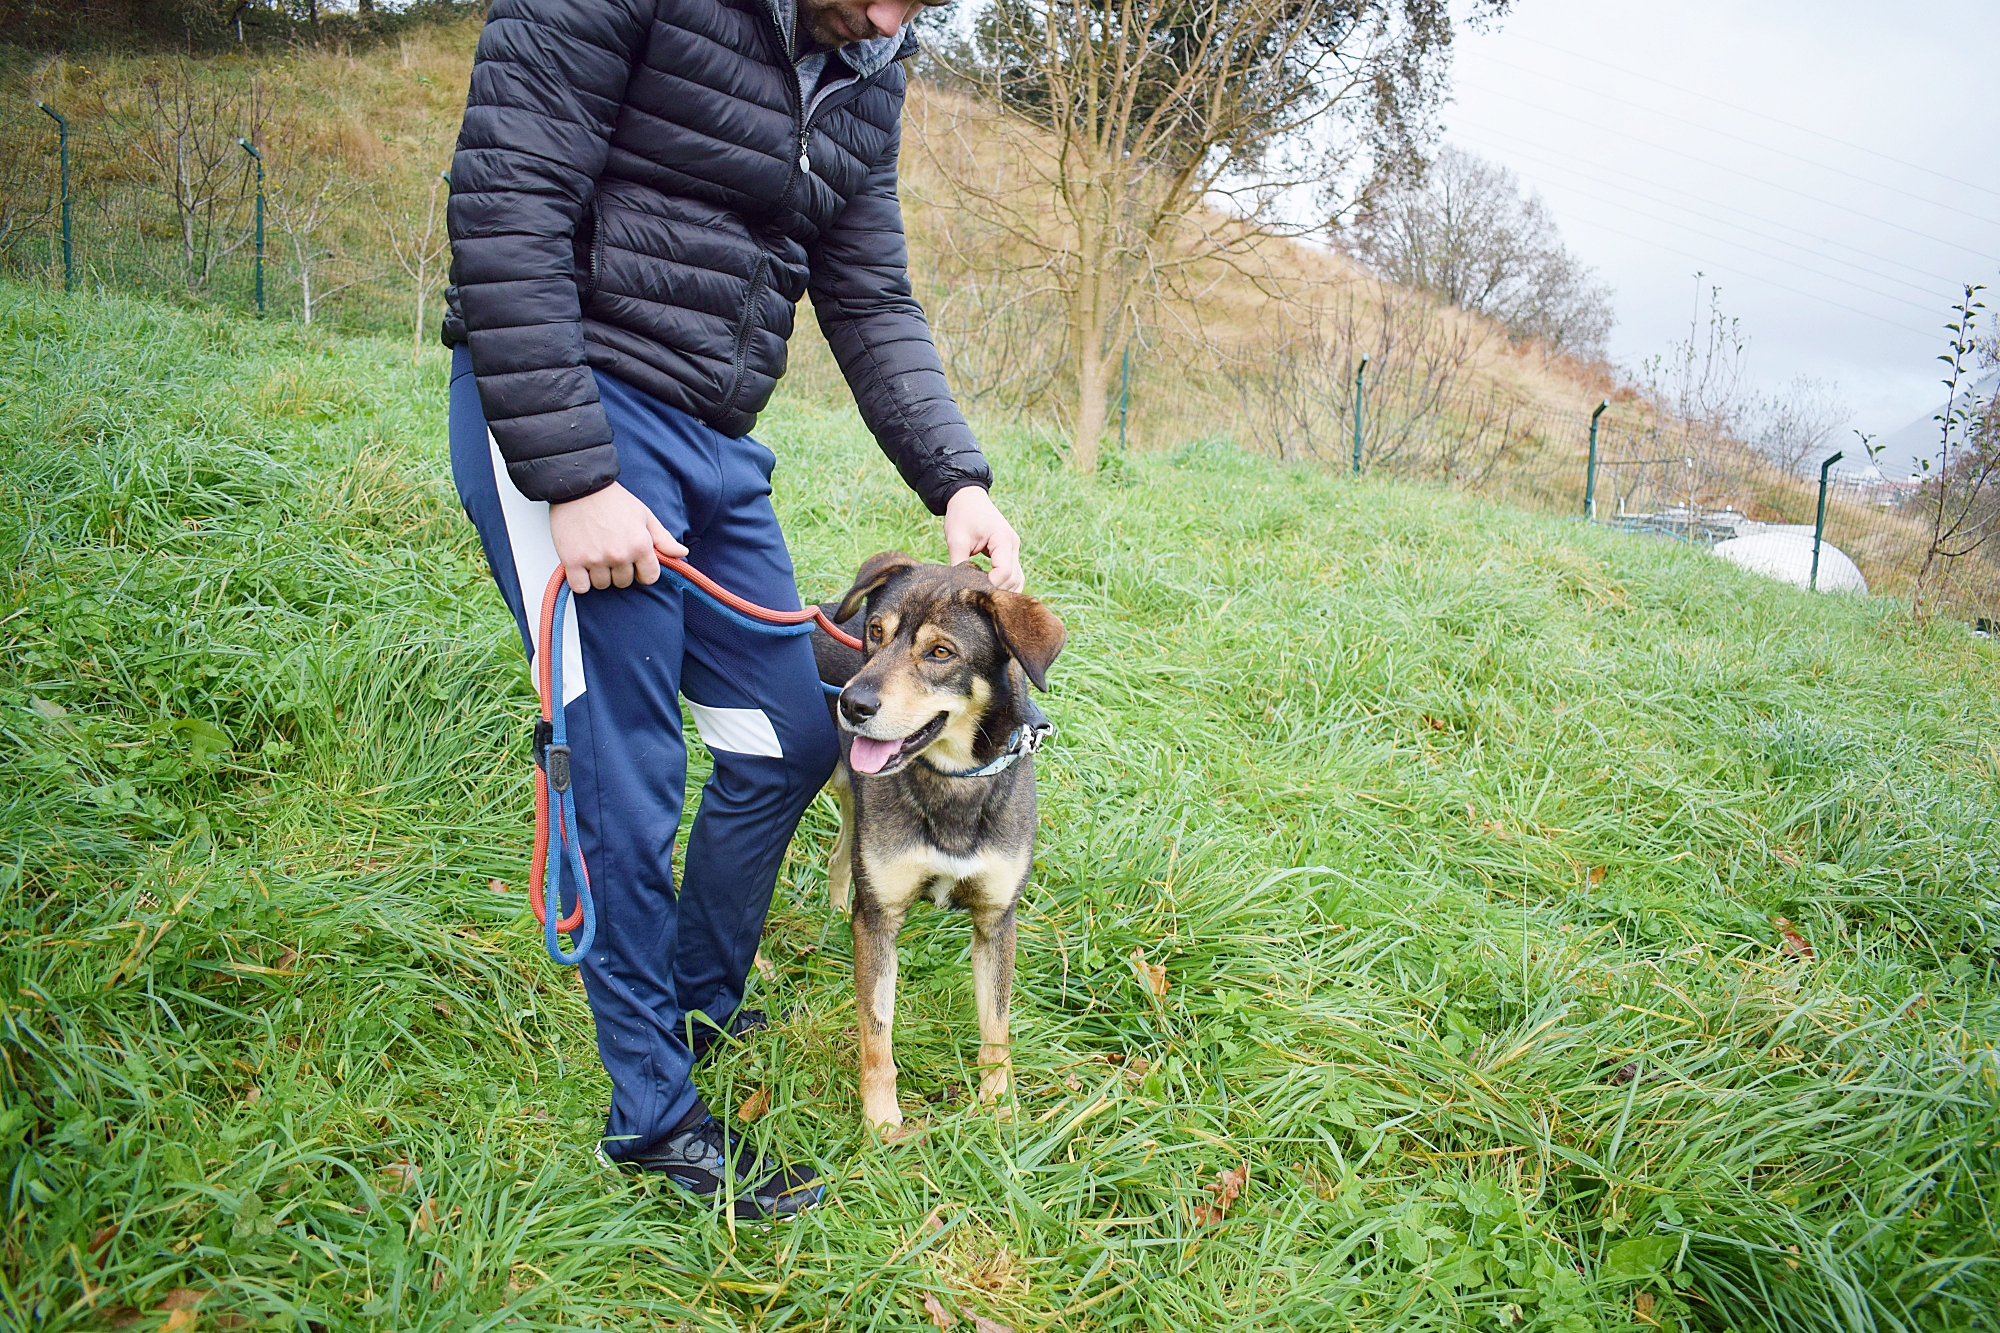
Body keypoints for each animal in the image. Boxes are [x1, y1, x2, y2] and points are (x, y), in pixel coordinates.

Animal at [810, 553, 1064, 1131]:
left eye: (941, 652)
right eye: (875, 633)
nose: (852, 705)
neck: (954, 778)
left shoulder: (996, 920)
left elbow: (996, 1027)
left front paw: (1000, 1109)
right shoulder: (879, 921)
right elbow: (876, 1031)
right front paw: (882, 1124)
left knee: (840, 854)